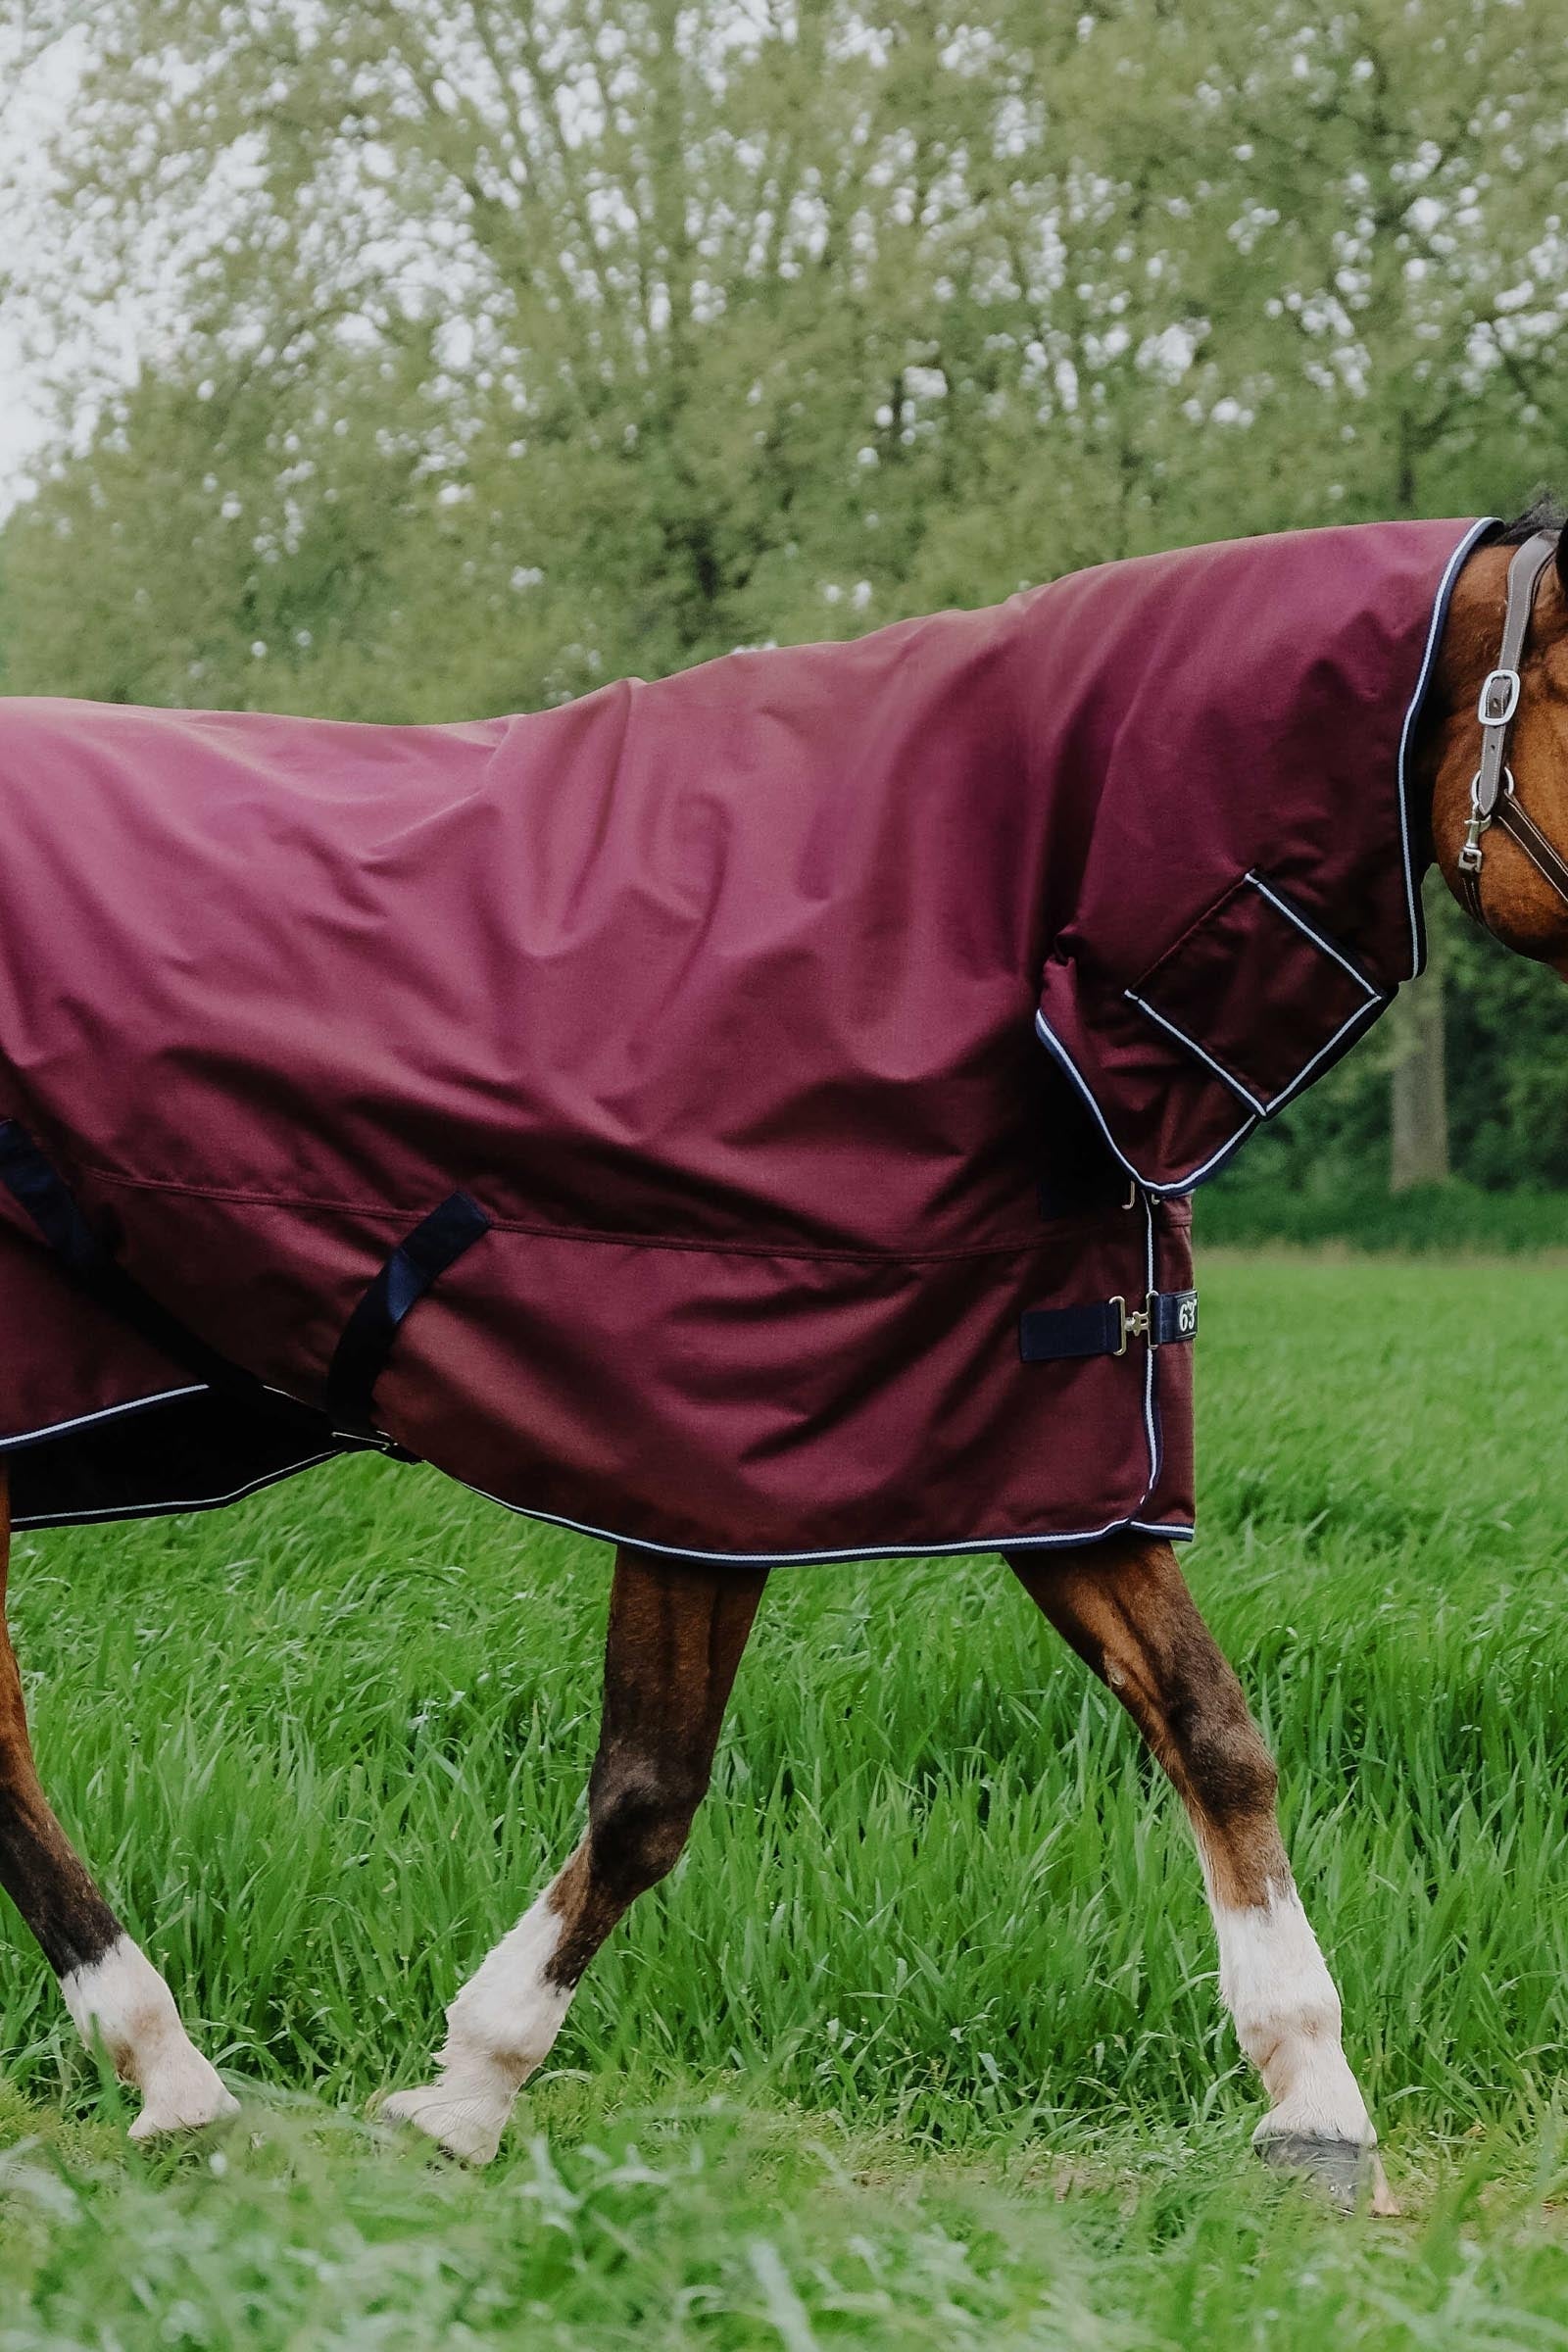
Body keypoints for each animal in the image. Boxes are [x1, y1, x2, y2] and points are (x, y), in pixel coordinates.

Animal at [0, 507, 1560, 2204]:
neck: (971, 907)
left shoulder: (1041, 1441)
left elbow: (1212, 1732)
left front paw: (1317, 2104)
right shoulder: (709, 1445)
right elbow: (648, 1794)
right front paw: (467, 2094)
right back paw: (171, 2071)